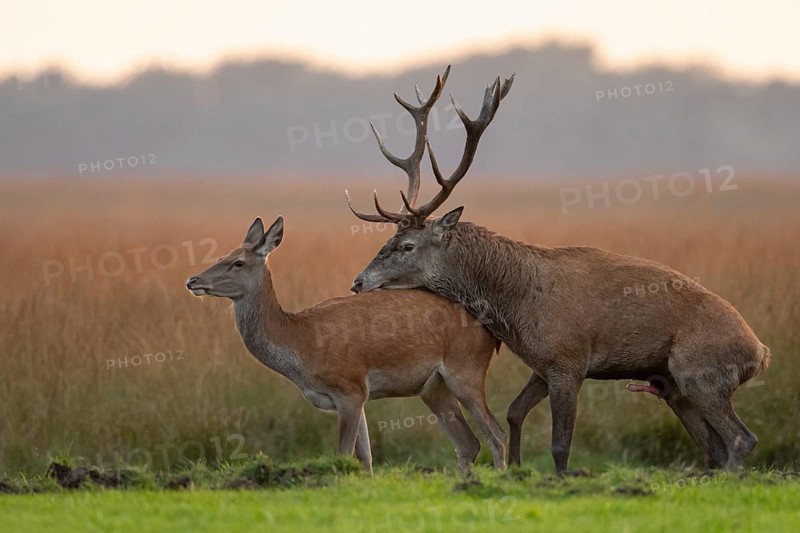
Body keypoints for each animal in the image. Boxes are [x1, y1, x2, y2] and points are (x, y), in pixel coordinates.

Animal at [185, 97, 510, 472]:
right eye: (223, 253)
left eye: (237, 262)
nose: (193, 280)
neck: (301, 347)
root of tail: (490, 332)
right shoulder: (356, 397)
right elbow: (365, 458)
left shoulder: (350, 387)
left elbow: (342, 454)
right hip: (433, 387)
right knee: (469, 443)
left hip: (465, 368)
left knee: (496, 434)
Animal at [347, 66, 772, 474]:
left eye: (407, 245)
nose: (358, 282)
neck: (518, 307)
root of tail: (761, 352)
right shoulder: (544, 365)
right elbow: (514, 412)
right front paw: (516, 468)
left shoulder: (569, 361)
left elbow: (560, 443)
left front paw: (561, 477)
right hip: (673, 385)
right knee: (714, 446)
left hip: (700, 372)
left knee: (741, 438)